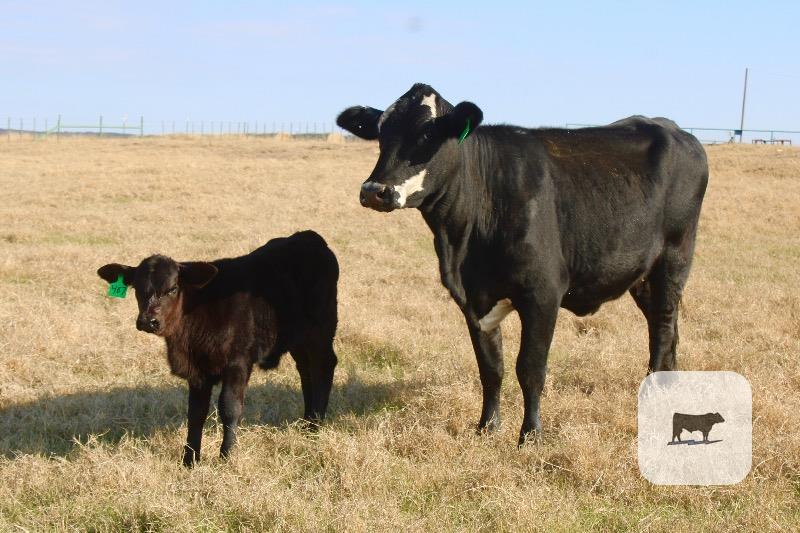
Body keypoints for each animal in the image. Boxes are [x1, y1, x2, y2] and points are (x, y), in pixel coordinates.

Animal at [97, 230, 339, 466]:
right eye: (137, 289)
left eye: (173, 288)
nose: (148, 321)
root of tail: (308, 237)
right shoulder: (197, 371)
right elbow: (196, 412)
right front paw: (189, 460)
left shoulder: (238, 362)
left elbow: (230, 407)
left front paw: (226, 456)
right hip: (298, 338)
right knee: (306, 372)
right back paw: (307, 422)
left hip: (321, 331)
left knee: (323, 367)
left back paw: (315, 426)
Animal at [336, 83, 708, 445]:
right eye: (381, 132)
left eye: (428, 133)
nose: (374, 190)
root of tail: (672, 128)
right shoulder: (474, 299)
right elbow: (491, 367)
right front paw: (486, 428)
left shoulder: (543, 293)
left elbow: (529, 368)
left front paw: (530, 436)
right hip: (641, 274)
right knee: (665, 327)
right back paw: (670, 384)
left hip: (675, 257)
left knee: (663, 325)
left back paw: (656, 393)